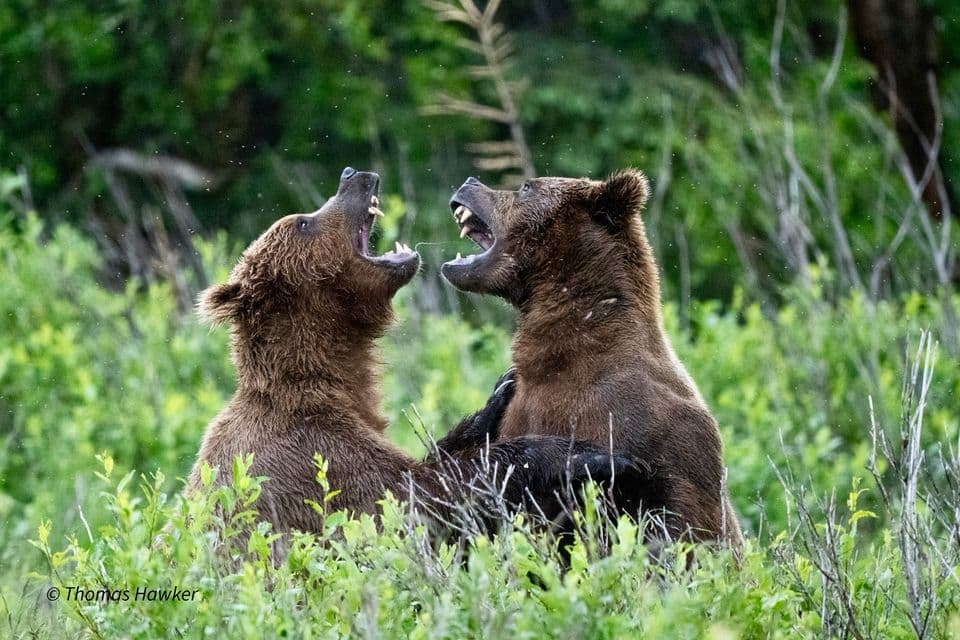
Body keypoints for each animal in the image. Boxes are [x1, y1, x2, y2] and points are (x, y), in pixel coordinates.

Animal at [186, 167, 636, 538]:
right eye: (304, 221)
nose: (350, 174)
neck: (324, 376)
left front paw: (499, 394)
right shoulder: (312, 458)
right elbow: (415, 495)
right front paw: (582, 455)